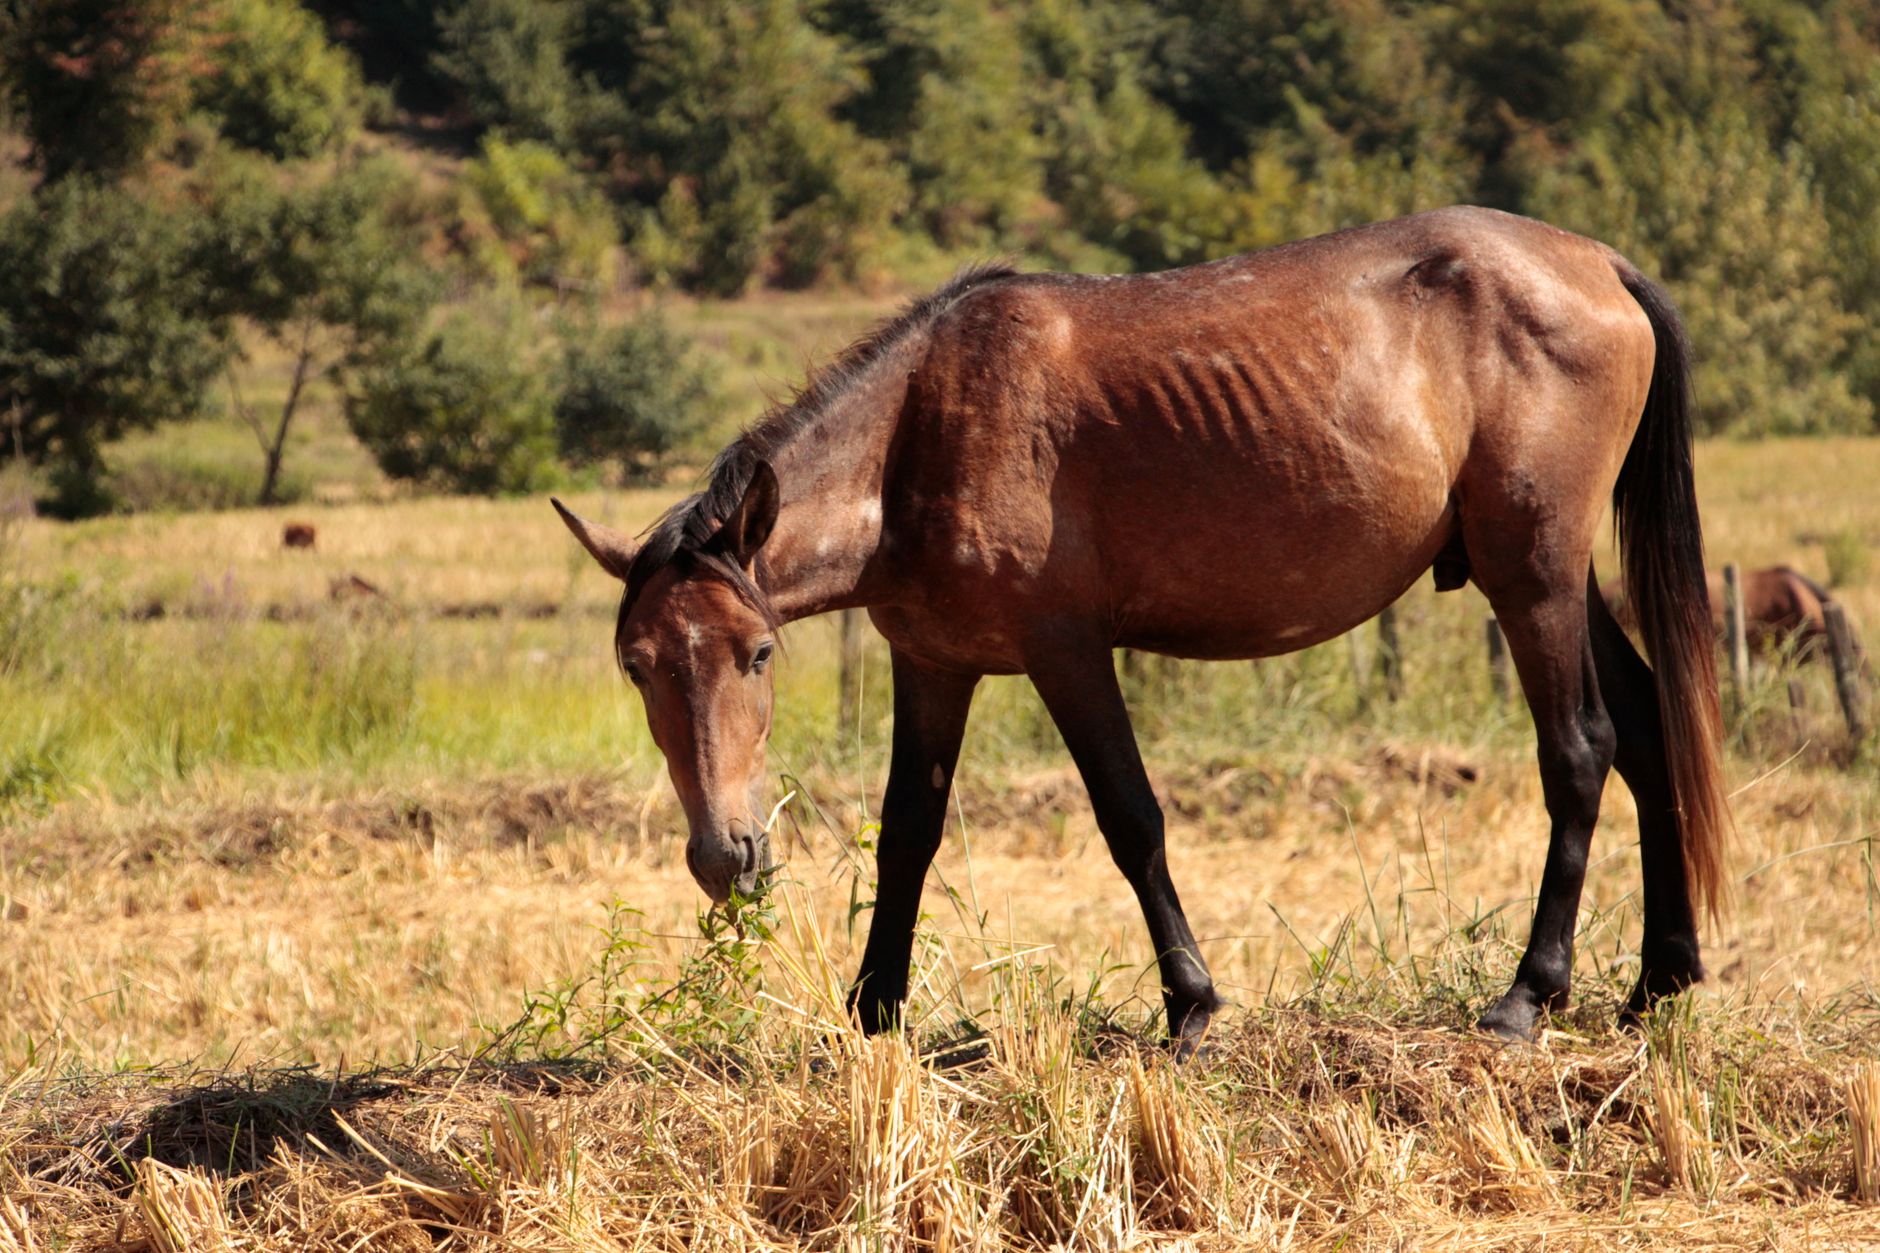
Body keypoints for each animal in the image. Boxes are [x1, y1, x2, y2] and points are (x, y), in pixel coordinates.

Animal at [554, 205, 1728, 1049]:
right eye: (636, 666)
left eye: (756, 654)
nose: (726, 854)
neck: (922, 430)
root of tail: (1599, 265)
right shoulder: (931, 661)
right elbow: (907, 834)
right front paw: (873, 1011)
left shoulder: (1066, 652)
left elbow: (1131, 819)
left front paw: (1191, 1004)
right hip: (1552, 577)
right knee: (1645, 728)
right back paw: (1659, 978)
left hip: (1530, 576)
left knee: (1580, 749)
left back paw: (1528, 994)